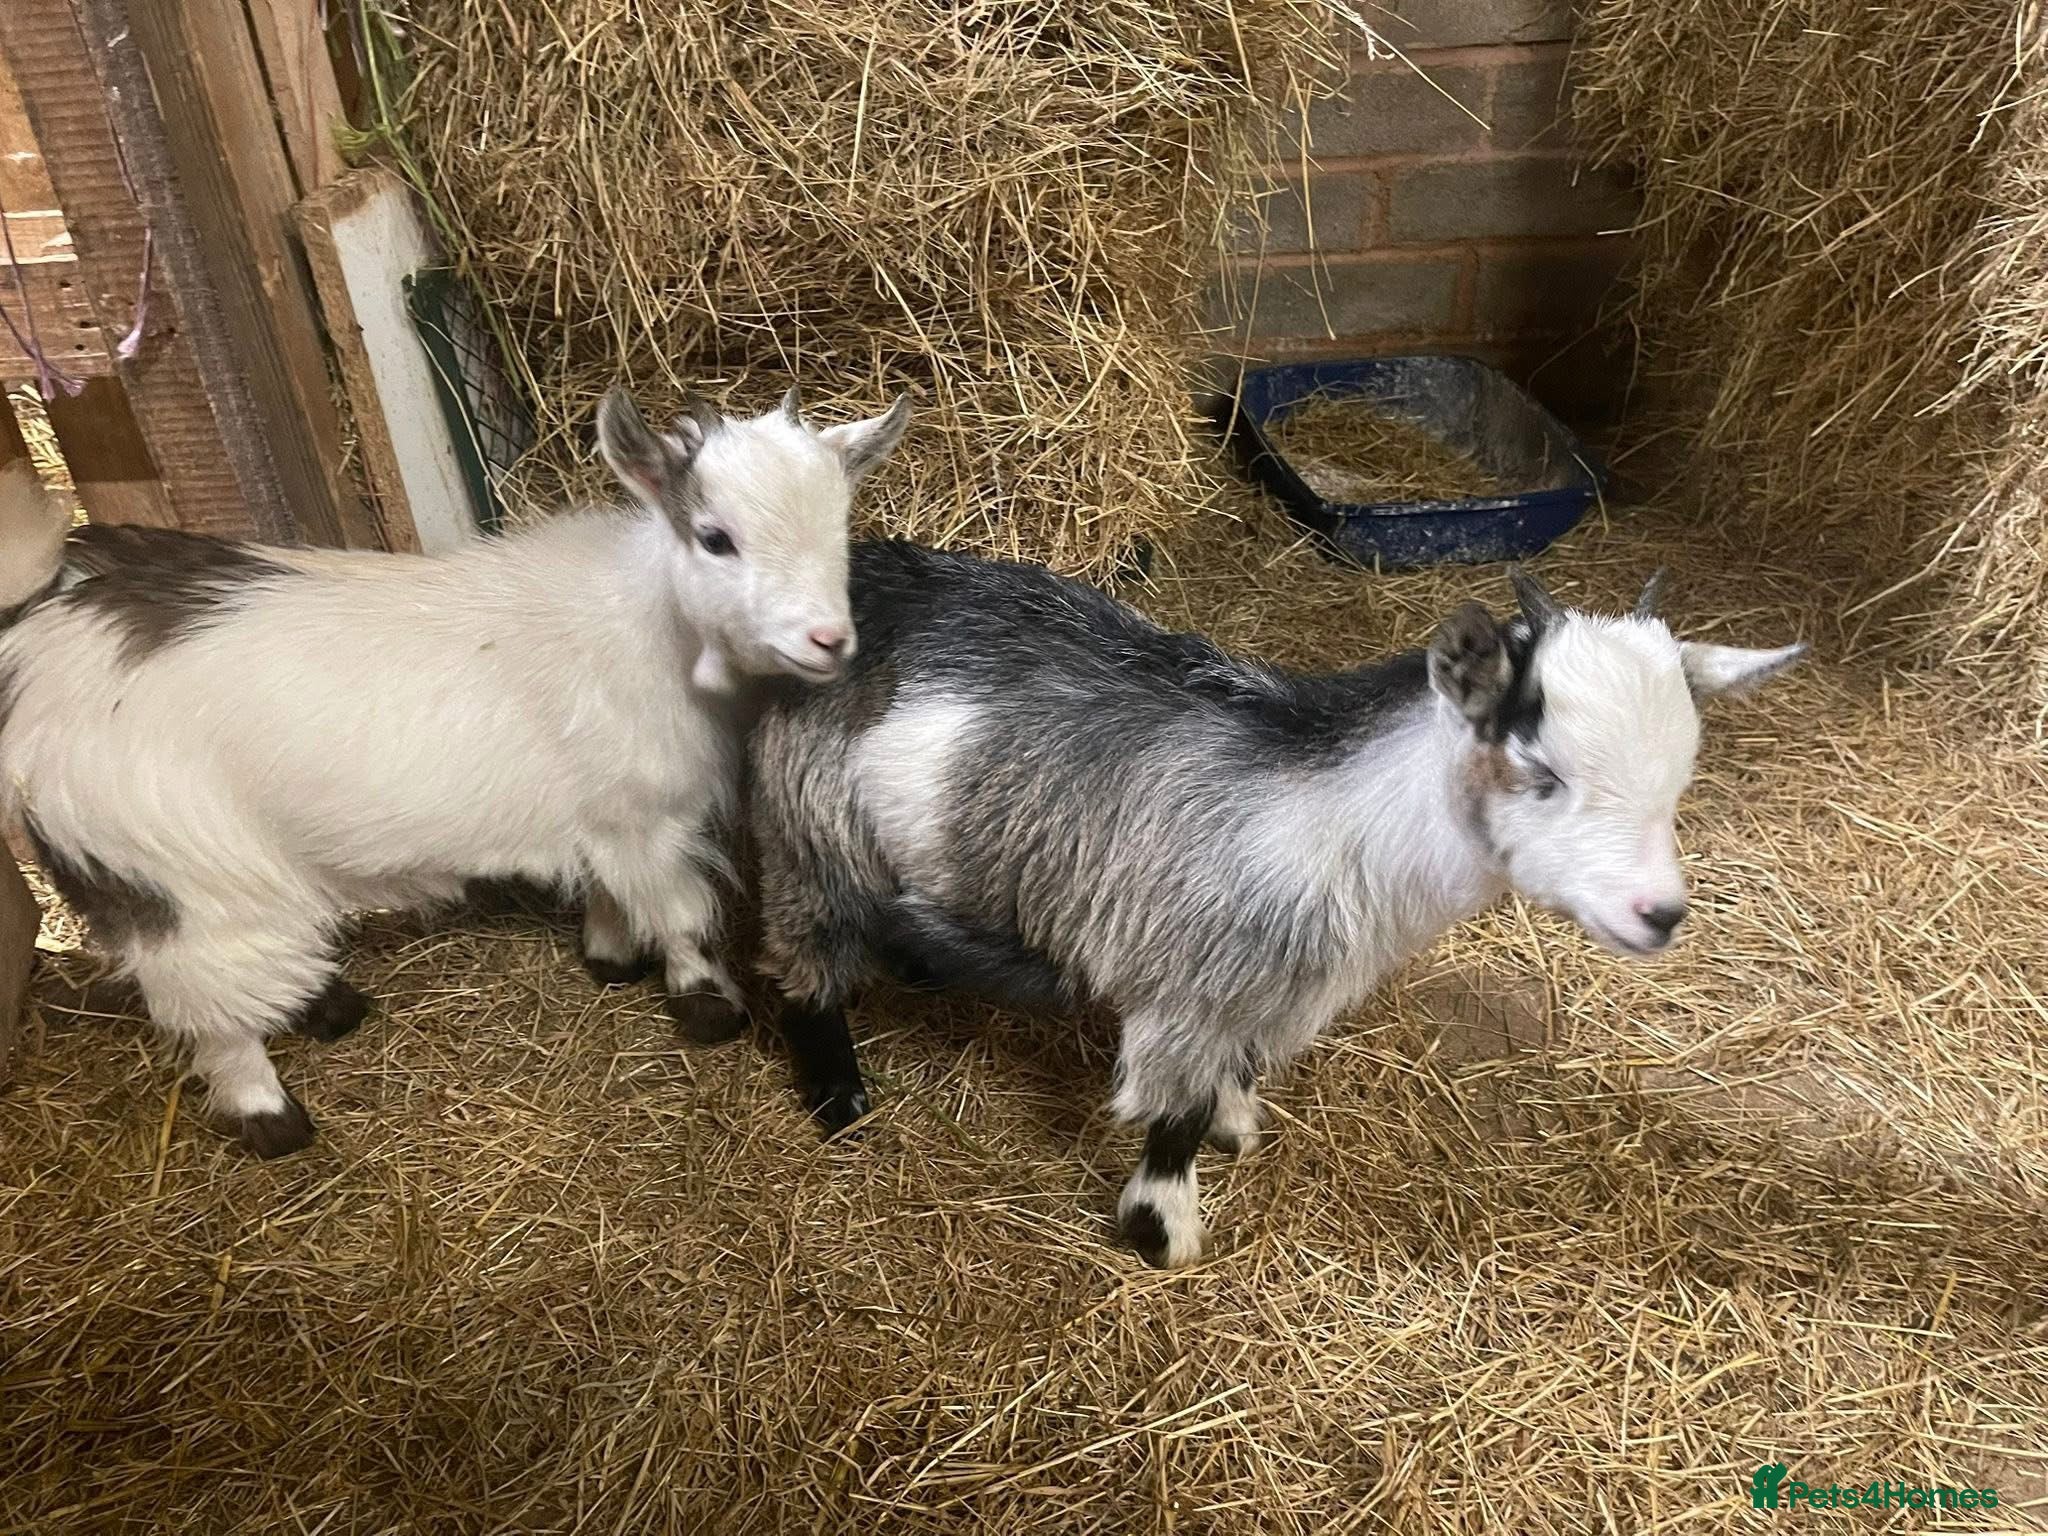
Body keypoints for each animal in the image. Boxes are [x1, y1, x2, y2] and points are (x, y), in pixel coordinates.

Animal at [0, 386, 909, 1156]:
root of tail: (40, 647)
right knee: (211, 1008)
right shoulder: (643, 819)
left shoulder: (598, 813)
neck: (647, 628)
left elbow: (609, 892)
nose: (830, 640)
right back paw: (271, 1117)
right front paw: (705, 1005)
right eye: (715, 538)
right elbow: (680, 915)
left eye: (839, 530)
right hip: (174, 878)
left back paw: (328, 1004)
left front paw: (609, 960)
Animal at [748, 542, 1804, 1267]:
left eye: (1683, 774)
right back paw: (839, 1096)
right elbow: (1171, 1117)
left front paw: (1236, 1121)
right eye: (1541, 771)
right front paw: (1162, 1228)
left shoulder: (1276, 987)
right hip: (812, 842)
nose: (1660, 913)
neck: (1340, 820)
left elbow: (1240, 1071)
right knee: (799, 965)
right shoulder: (1191, 988)